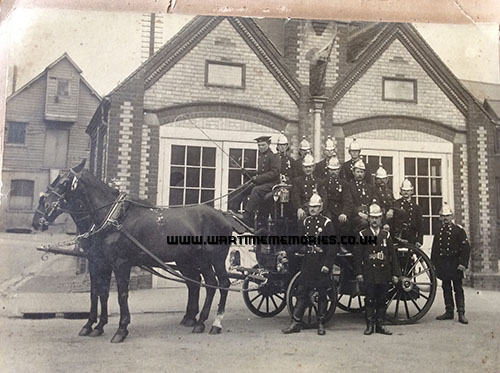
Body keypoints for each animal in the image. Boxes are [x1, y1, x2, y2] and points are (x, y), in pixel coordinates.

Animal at [32, 159, 231, 340]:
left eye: (64, 183)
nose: (37, 220)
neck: (114, 218)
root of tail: (222, 215)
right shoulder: (100, 262)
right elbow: (98, 293)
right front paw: (94, 326)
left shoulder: (121, 263)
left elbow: (121, 295)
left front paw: (121, 329)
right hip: (192, 260)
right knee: (203, 283)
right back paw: (196, 320)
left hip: (214, 260)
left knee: (220, 284)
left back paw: (214, 323)